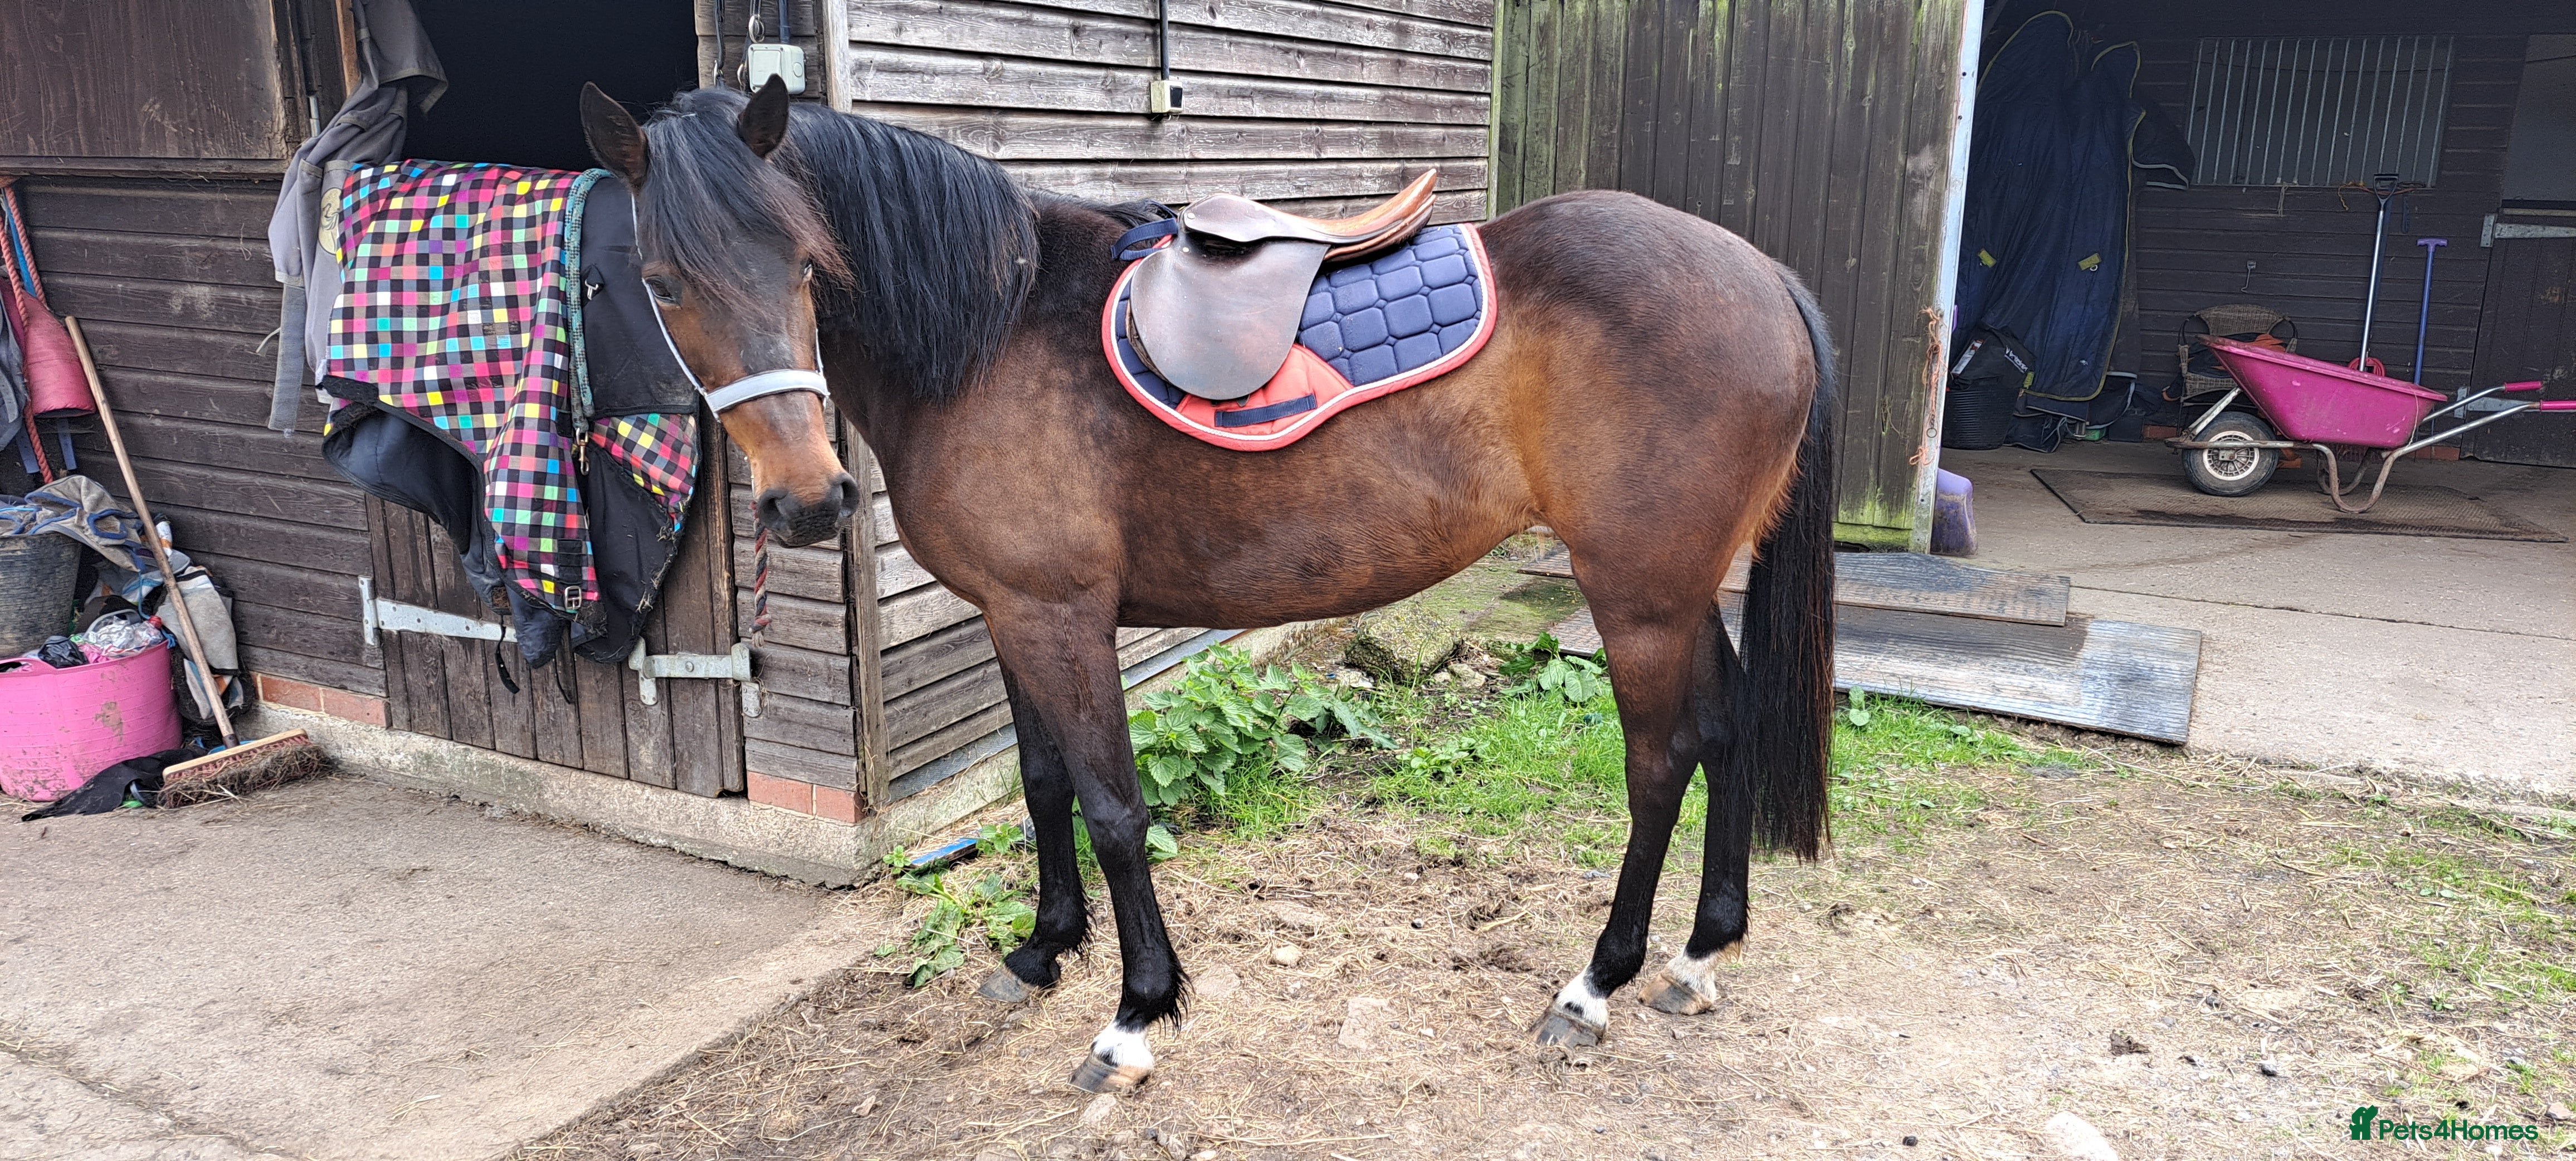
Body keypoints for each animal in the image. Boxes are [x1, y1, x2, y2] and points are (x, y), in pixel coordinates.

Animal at [578, 78, 1838, 1093]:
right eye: (662, 282)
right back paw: (1697, 954)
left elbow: (1114, 808)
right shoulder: (1009, 616)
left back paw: (1593, 984)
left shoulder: (1060, 617)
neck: (993, 330)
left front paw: (1134, 1014)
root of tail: (1763, 274)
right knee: (1726, 729)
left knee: (1659, 763)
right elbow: (1041, 784)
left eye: (806, 265)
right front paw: (1040, 950)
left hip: (1634, 595)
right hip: (1680, 590)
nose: (805, 502)